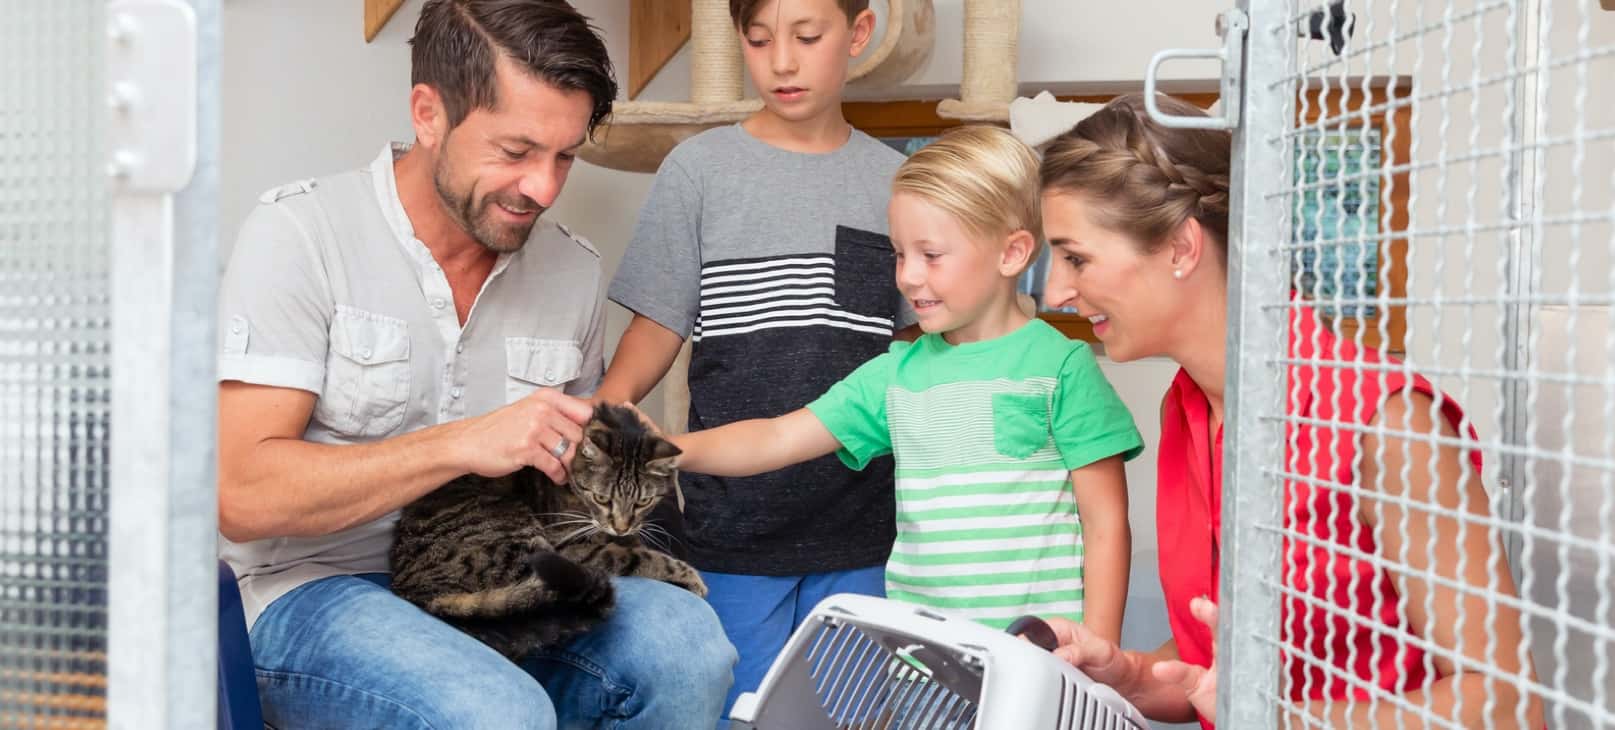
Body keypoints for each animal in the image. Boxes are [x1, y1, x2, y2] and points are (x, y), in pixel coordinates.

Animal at [390, 402, 707, 658]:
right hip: (523, 539)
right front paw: (690, 576)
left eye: (643, 501)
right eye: (602, 498)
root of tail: (411, 588)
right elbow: (638, 556)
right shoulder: (570, 544)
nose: (620, 526)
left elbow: (634, 543)